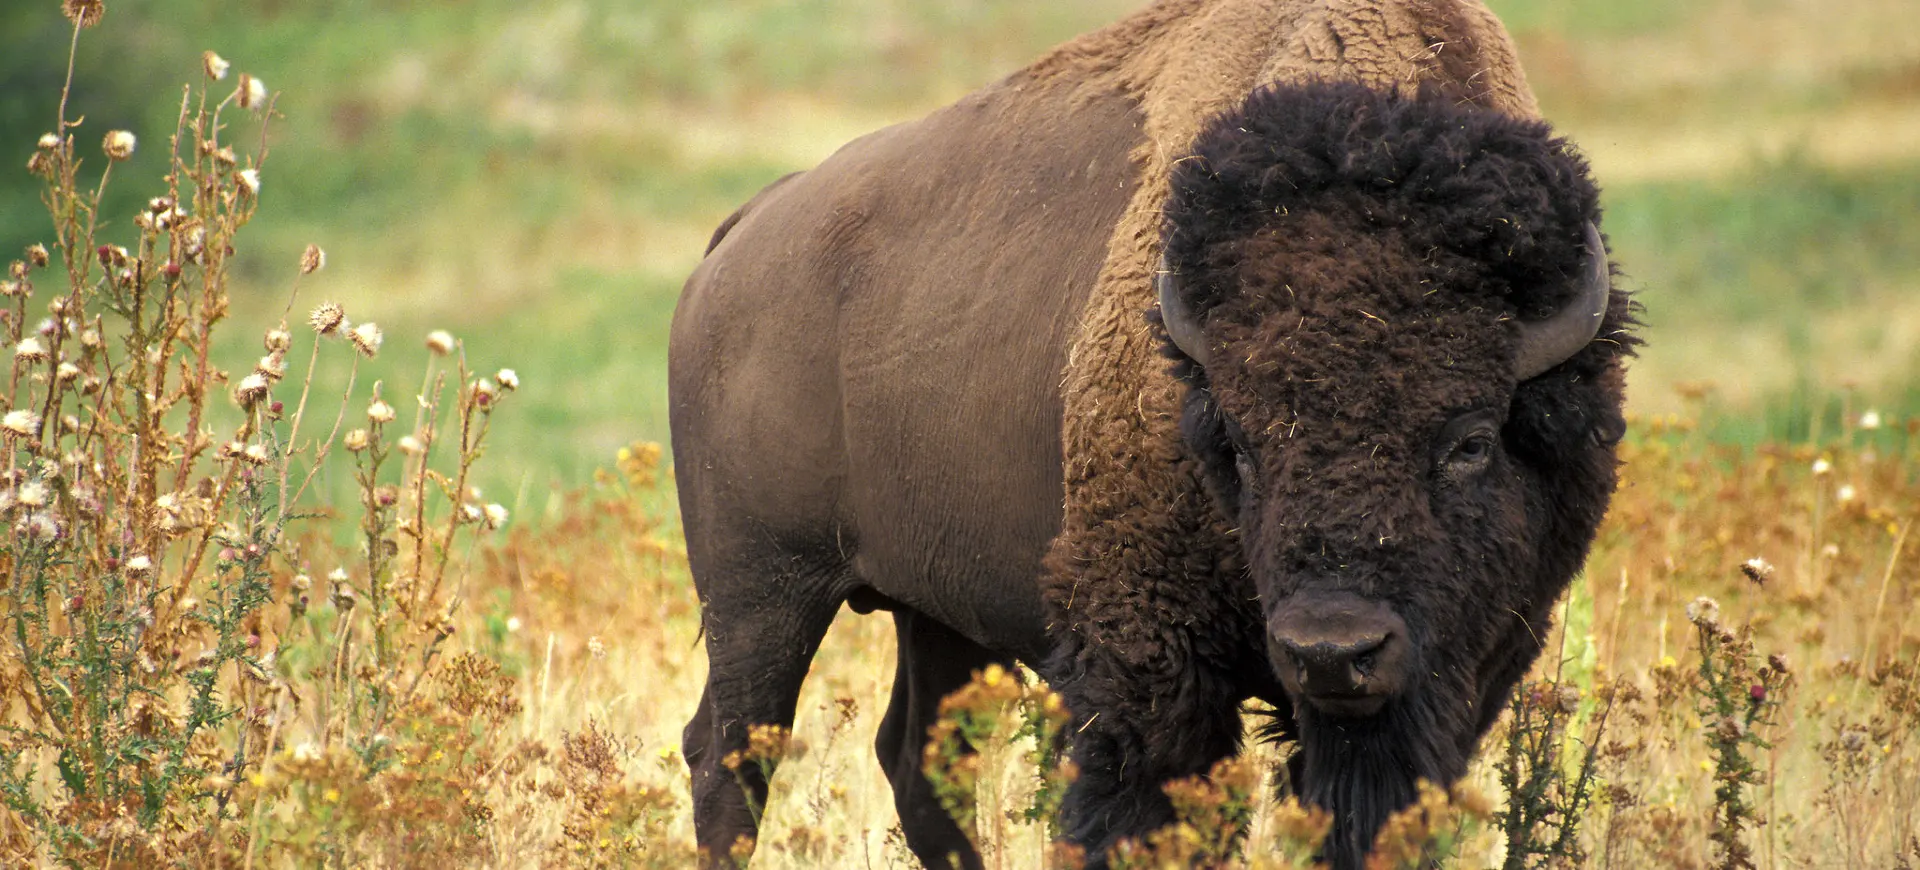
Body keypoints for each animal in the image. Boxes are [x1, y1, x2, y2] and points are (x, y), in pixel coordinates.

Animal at [668, 1, 1628, 868]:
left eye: (1470, 440)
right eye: (1236, 443)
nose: (1332, 651)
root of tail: (739, 239)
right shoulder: (1147, 664)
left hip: (933, 610)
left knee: (915, 759)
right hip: (762, 592)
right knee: (728, 756)